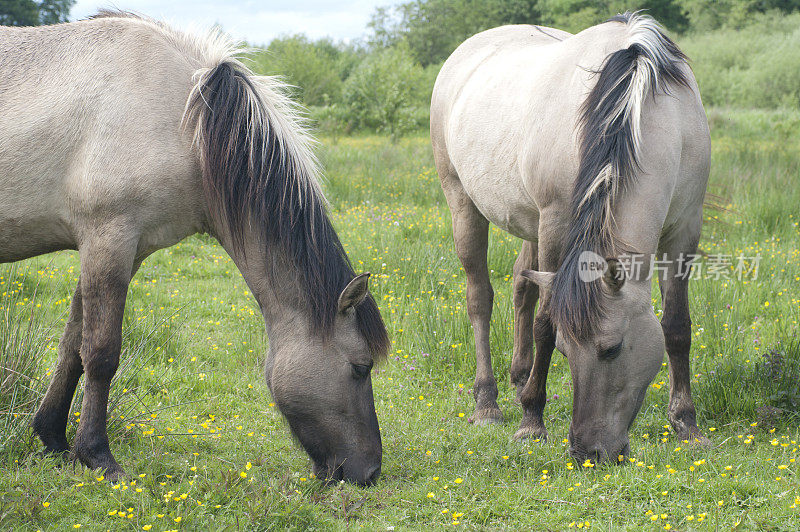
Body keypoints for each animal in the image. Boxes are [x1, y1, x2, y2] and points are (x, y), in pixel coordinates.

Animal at [0, 11, 388, 486]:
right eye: (360, 367)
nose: (370, 470)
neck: (186, 121)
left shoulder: (122, 251)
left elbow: (73, 346)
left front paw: (53, 437)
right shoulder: (108, 239)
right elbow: (101, 353)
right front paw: (98, 456)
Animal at [434, 12, 708, 462]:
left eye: (612, 348)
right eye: (565, 350)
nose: (587, 452)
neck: (642, 106)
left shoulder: (685, 228)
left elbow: (676, 327)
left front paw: (686, 424)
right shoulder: (557, 223)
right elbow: (546, 321)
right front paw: (531, 421)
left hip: (529, 222)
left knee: (522, 285)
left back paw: (519, 375)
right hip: (463, 202)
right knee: (480, 299)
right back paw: (488, 402)